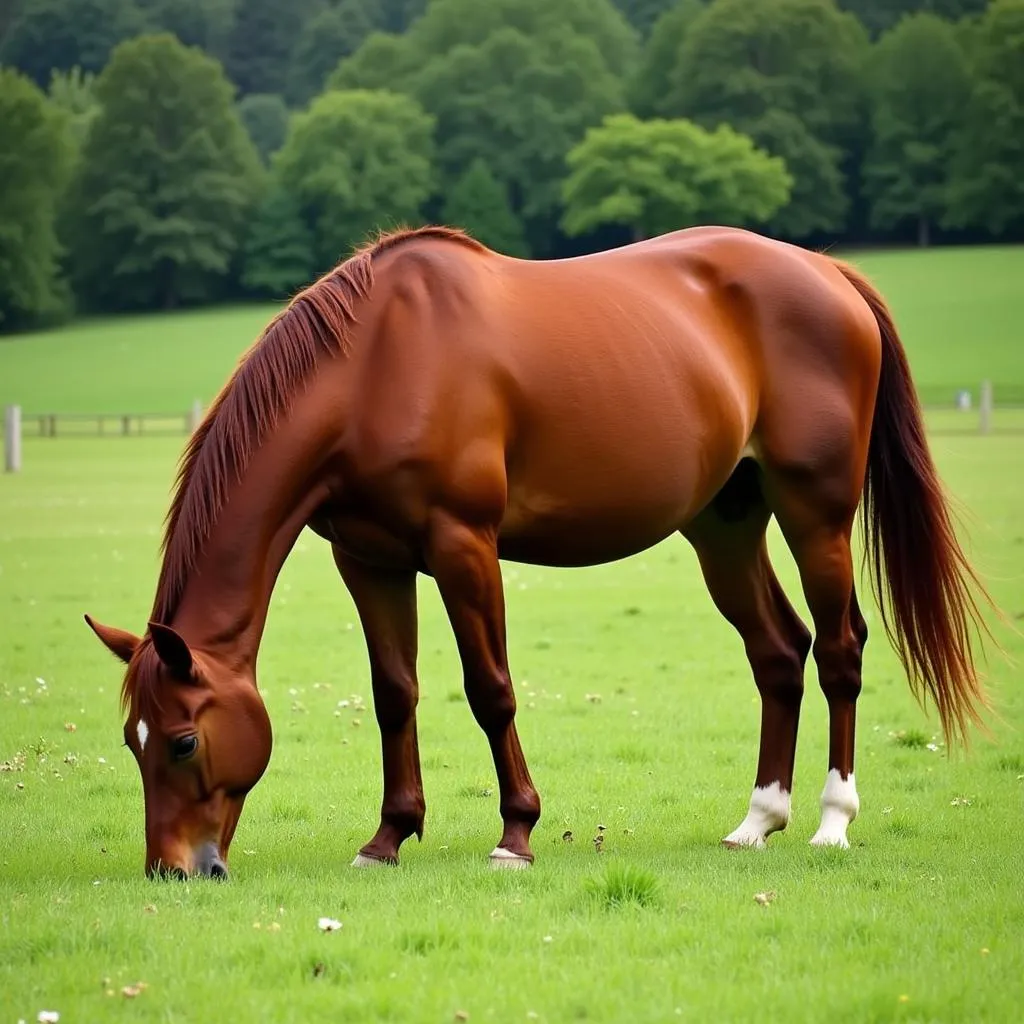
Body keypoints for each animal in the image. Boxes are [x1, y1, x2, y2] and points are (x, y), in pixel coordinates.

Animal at [86, 224, 991, 880]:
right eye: (132, 741)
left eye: (183, 741)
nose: (172, 869)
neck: (377, 362)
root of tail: (828, 273)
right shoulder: (370, 561)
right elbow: (394, 694)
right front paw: (388, 837)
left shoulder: (463, 546)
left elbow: (490, 691)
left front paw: (514, 835)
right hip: (724, 525)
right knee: (779, 652)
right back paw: (757, 821)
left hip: (816, 516)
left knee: (839, 650)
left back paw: (833, 823)